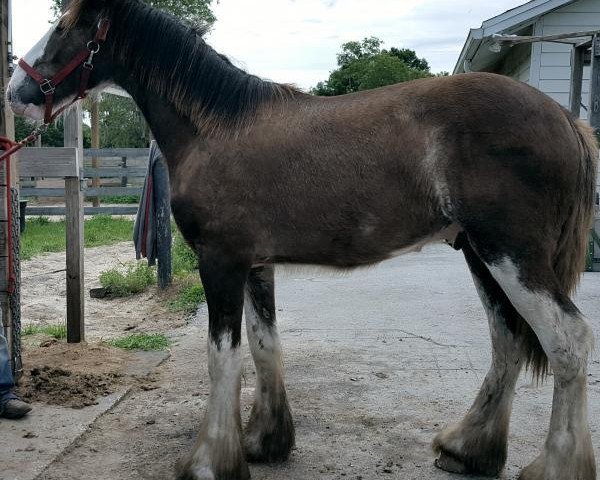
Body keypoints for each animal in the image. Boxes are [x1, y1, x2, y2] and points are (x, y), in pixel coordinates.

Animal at [5, 0, 600, 480]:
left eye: (66, 26)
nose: (17, 92)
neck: (216, 129)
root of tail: (565, 120)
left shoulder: (220, 262)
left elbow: (223, 357)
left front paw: (208, 461)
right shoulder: (255, 265)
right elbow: (264, 346)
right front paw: (263, 442)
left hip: (512, 256)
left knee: (566, 340)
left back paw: (553, 466)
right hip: (480, 254)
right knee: (509, 341)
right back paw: (466, 450)